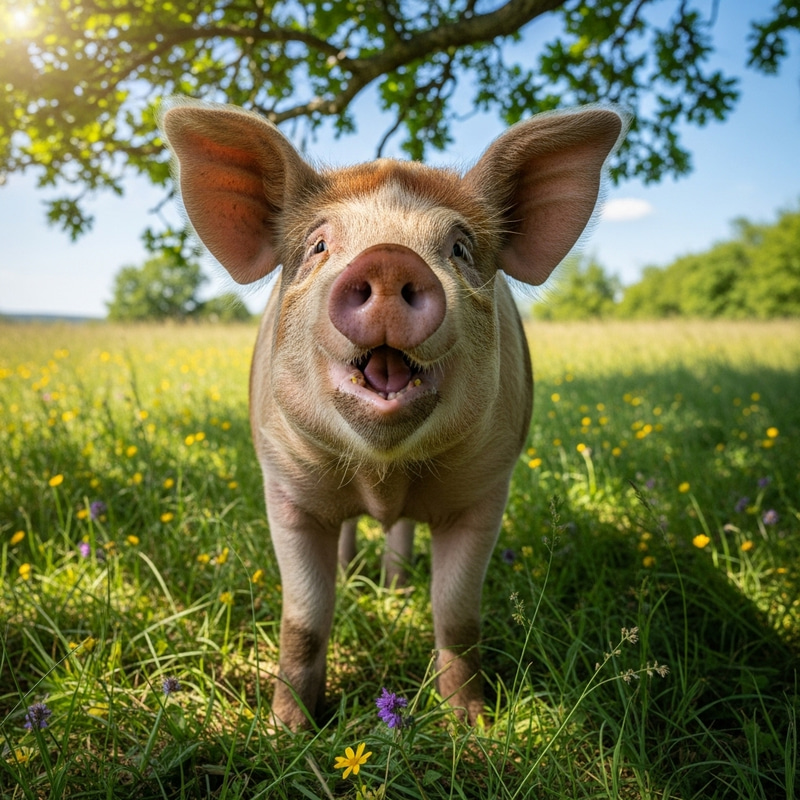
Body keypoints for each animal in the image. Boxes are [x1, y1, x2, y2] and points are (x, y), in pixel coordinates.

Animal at [160, 99, 624, 730]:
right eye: (319, 245)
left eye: (459, 248)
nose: (388, 260)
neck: (385, 471)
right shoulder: (284, 483)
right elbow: (304, 620)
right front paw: (286, 731)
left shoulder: (487, 488)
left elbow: (457, 615)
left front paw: (471, 727)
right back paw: (356, 576)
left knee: (401, 533)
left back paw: (396, 588)